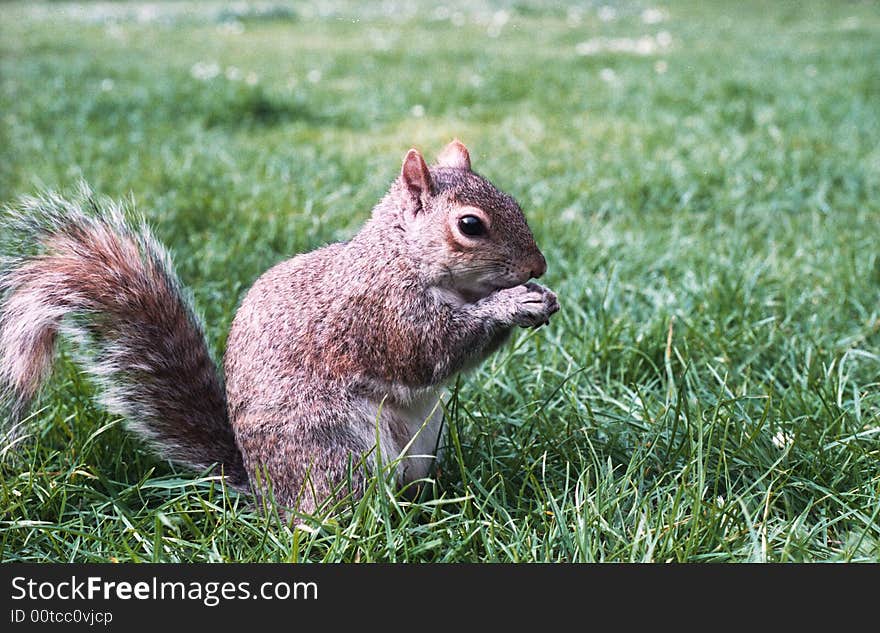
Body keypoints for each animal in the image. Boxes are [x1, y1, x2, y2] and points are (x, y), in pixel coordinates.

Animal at [0, 141, 560, 512]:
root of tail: (267, 494)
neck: (401, 254)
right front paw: (513, 304)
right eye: (470, 225)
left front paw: (541, 298)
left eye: (512, 200)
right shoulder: (380, 312)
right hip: (336, 450)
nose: (539, 266)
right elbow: (431, 351)